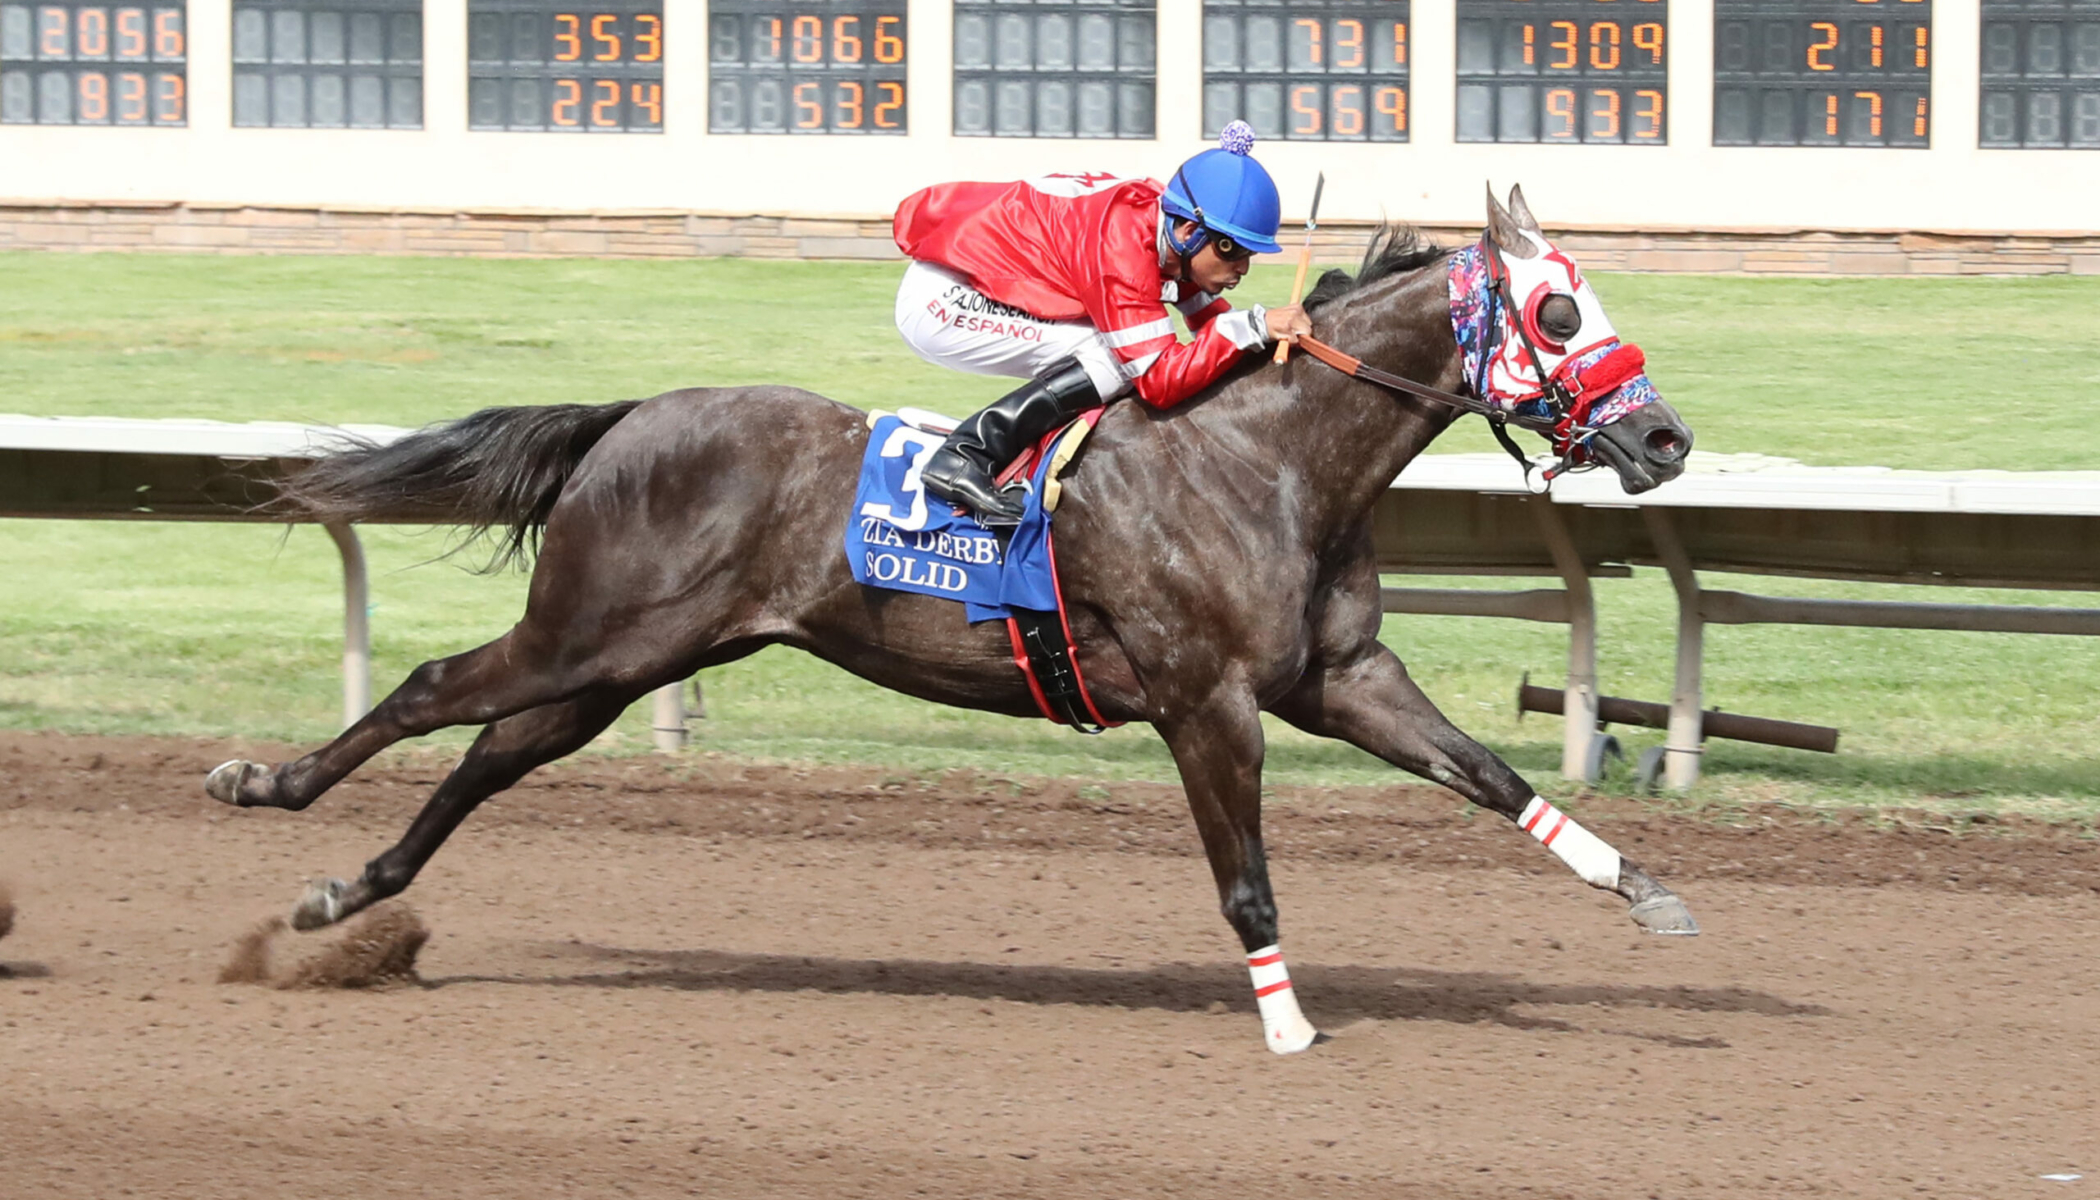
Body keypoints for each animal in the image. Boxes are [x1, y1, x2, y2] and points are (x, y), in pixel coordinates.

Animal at [204, 185, 1696, 1050]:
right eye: (1558, 309)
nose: (1667, 439)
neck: (1260, 455)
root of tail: (630, 417)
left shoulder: (1339, 676)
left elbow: (1491, 774)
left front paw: (1647, 891)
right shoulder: (1205, 700)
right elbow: (1247, 877)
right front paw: (1285, 1026)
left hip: (624, 660)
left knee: (486, 754)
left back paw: (347, 897)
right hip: (588, 631)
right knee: (429, 689)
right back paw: (261, 786)